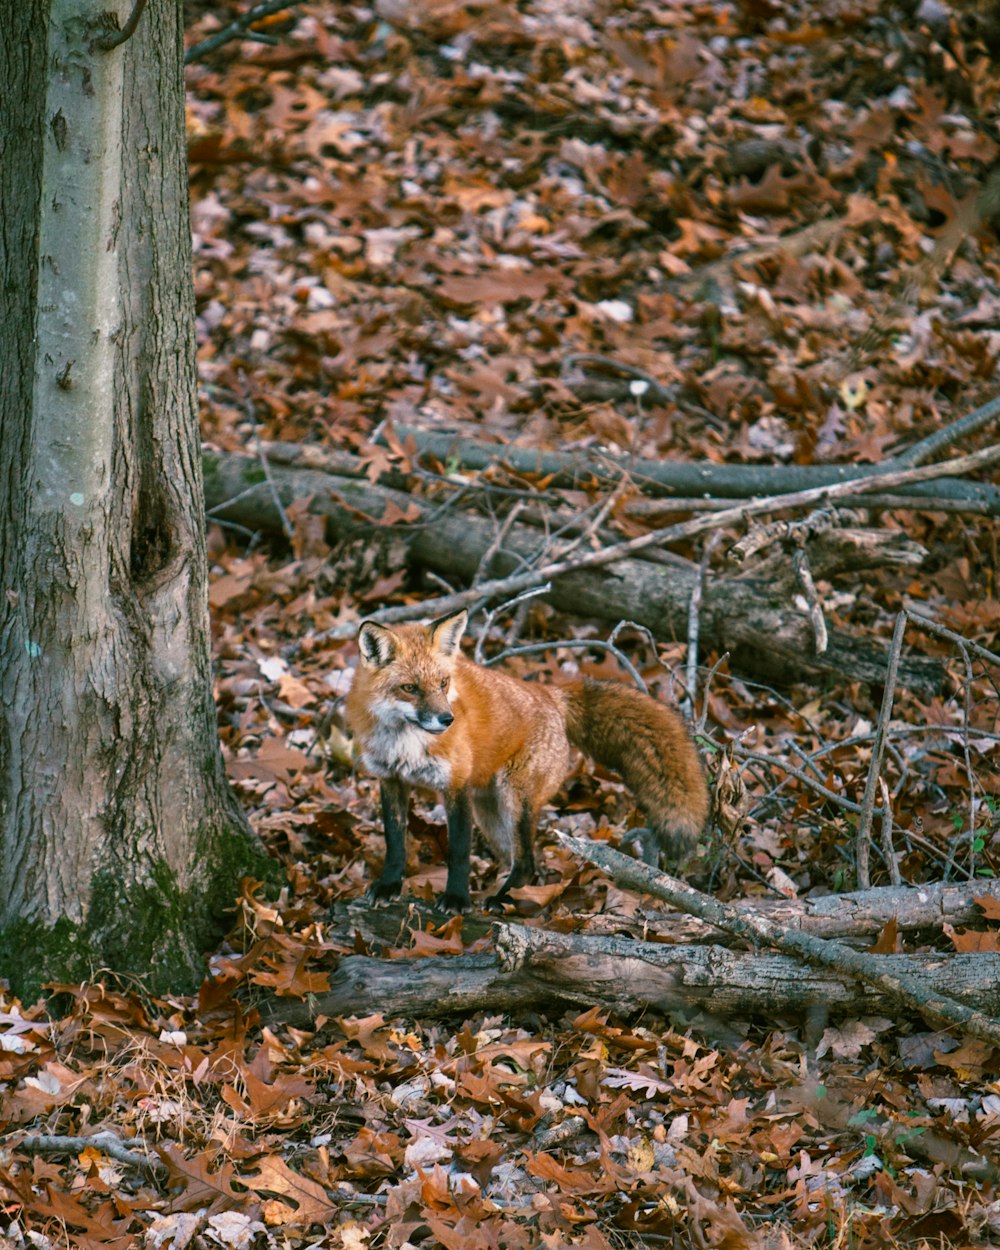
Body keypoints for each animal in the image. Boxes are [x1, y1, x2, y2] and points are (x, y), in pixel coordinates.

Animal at [347, 607, 705, 910]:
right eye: (410, 688)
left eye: (443, 683)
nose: (447, 720)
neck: (403, 743)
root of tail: (551, 694)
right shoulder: (390, 779)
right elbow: (395, 842)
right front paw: (389, 885)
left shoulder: (456, 784)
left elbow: (459, 851)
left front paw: (457, 899)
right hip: (491, 815)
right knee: (526, 864)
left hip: (514, 799)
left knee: (528, 864)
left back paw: (502, 899)